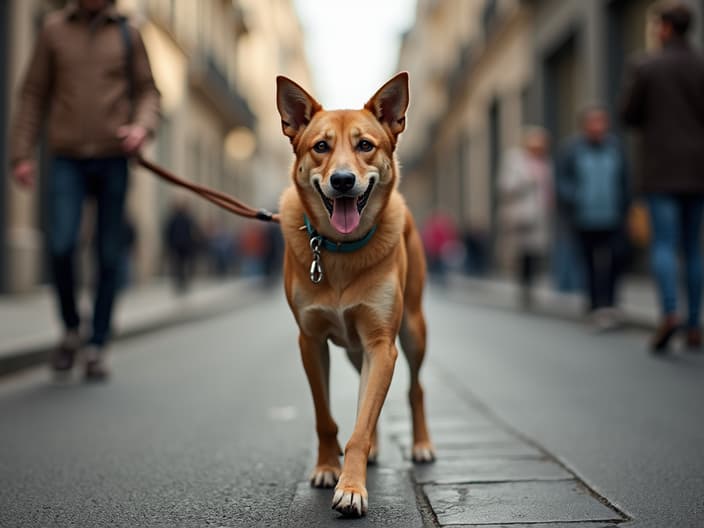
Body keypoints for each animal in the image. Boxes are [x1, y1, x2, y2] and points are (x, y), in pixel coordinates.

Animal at [276, 72, 434, 516]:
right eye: (320, 146)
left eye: (365, 145)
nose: (343, 181)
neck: (340, 250)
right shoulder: (311, 342)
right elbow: (326, 418)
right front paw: (329, 468)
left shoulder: (382, 343)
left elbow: (361, 425)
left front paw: (351, 487)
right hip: (351, 350)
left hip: (412, 332)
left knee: (415, 389)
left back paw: (421, 445)